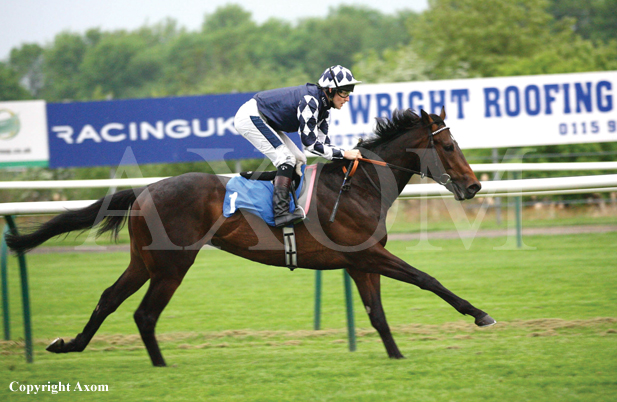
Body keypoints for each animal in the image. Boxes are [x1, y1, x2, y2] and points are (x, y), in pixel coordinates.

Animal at [4, 108, 496, 366]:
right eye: (448, 146)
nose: (474, 186)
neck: (360, 186)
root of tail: (145, 189)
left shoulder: (359, 261)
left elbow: (377, 314)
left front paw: (396, 358)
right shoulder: (370, 254)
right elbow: (426, 279)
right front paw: (480, 314)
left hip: (144, 260)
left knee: (109, 298)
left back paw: (69, 344)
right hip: (173, 264)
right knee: (144, 314)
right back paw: (161, 366)